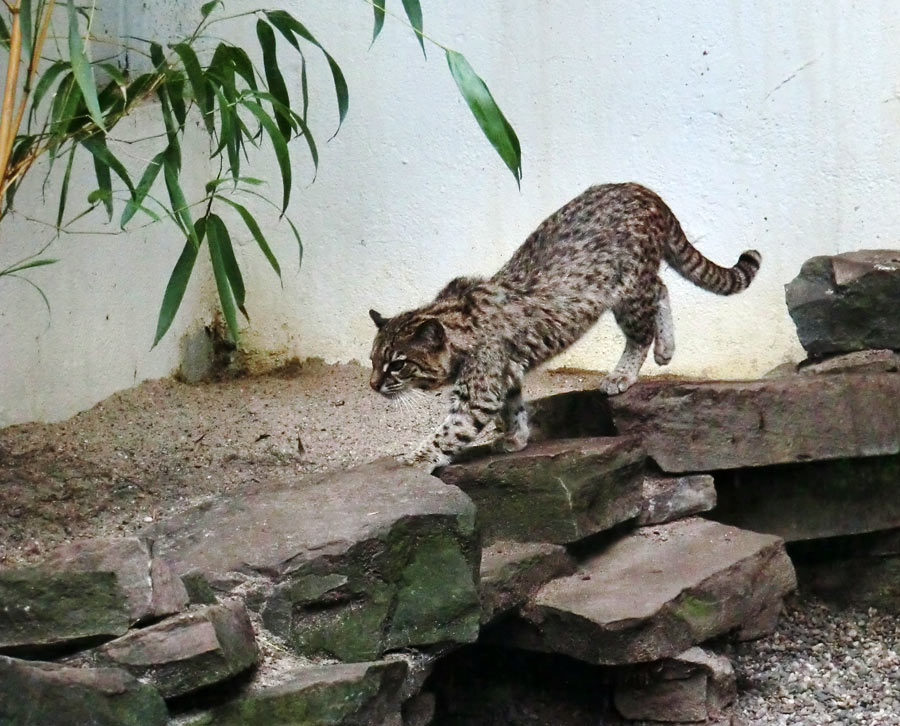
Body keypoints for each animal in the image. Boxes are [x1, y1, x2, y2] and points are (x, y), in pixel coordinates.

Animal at [368, 183, 760, 472]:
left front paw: (414, 460)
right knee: (662, 288)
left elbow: (450, 431)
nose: (373, 385)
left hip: (628, 292)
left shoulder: (478, 392)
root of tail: (642, 189)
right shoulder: (505, 374)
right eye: (372, 360)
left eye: (398, 364)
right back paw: (667, 349)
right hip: (635, 288)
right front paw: (517, 437)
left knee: (642, 328)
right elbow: (513, 406)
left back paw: (624, 373)